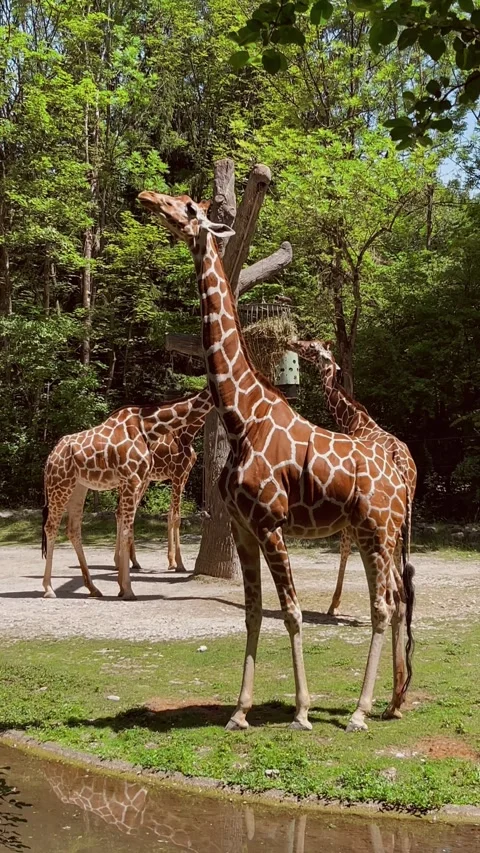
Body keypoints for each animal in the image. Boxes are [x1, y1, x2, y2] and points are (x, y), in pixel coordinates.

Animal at [41, 388, 212, 601]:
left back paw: (94, 586)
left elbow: (148, 521)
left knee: (74, 529)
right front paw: (175, 565)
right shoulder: (174, 475)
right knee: (51, 527)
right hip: (60, 485)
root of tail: (50, 456)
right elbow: (173, 517)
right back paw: (49, 588)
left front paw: (123, 585)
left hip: (79, 487)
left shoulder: (149, 478)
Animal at [290, 339, 417, 616]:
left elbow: (345, 547)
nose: (294, 342)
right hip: (407, 500)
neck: (356, 421)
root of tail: (402, 461)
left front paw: (333, 605)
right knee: (400, 544)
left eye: (312, 347)